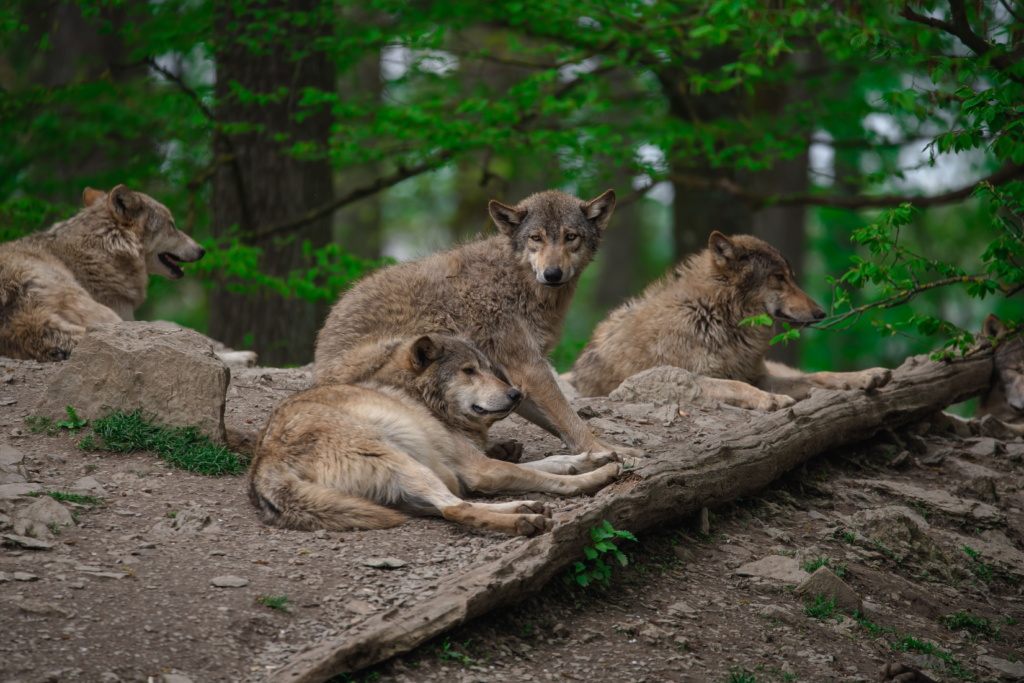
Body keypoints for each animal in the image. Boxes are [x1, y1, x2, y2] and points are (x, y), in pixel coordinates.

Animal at [249, 335, 622, 535]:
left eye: (490, 370)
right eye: (469, 371)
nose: (516, 394)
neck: (423, 399)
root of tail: (263, 466)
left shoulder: (475, 464)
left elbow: (553, 462)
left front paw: (594, 457)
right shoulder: (482, 470)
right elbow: (546, 475)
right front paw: (596, 474)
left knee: (451, 506)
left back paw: (526, 507)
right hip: (403, 461)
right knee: (455, 509)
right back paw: (525, 520)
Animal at [315, 188, 644, 459]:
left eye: (570, 236)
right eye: (536, 238)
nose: (552, 274)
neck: (516, 280)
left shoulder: (514, 376)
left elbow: (561, 423)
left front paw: (607, 449)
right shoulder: (529, 367)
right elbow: (570, 418)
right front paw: (603, 452)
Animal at [569, 231, 892, 410]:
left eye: (791, 277)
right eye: (779, 278)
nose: (821, 313)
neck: (715, 315)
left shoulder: (758, 375)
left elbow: (817, 376)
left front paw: (866, 375)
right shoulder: (686, 378)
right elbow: (737, 386)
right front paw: (771, 400)